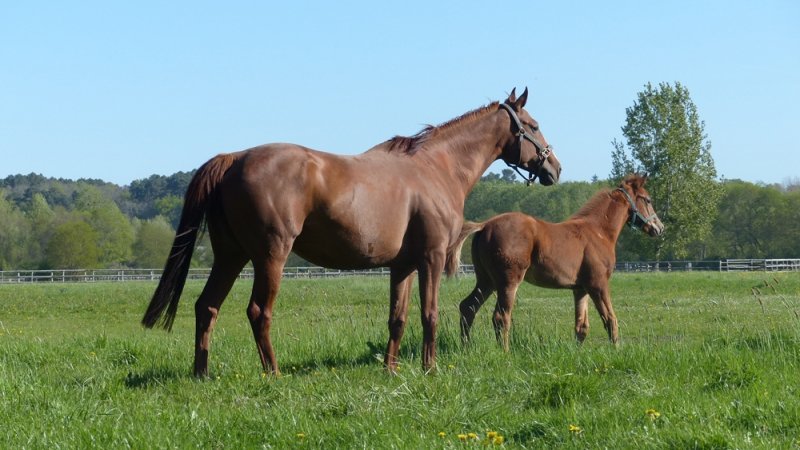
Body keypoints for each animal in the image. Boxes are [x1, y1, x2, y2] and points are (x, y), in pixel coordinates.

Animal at [141, 88, 562, 376]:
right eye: (534, 126)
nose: (554, 168)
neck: (435, 168)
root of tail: (233, 159)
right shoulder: (430, 257)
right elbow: (429, 314)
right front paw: (430, 368)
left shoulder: (402, 266)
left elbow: (398, 318)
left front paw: (391, 369)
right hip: (269, 257)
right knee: (258, 312)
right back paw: (272, 373)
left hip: (231, 256)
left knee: (206, 307)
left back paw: (201, 373)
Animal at [453, 174, 663, 351]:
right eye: (648, 199)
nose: (659, 228)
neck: (598, 232)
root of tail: (485, 226)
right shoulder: (598, 284)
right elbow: (610, 319)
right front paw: (617, 351)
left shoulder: (580, 289)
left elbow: (581, 326)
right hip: (507, 282)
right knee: (500, 317)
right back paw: (505, 352)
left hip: (486, 280)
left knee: (468, 307)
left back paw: (465, 348)